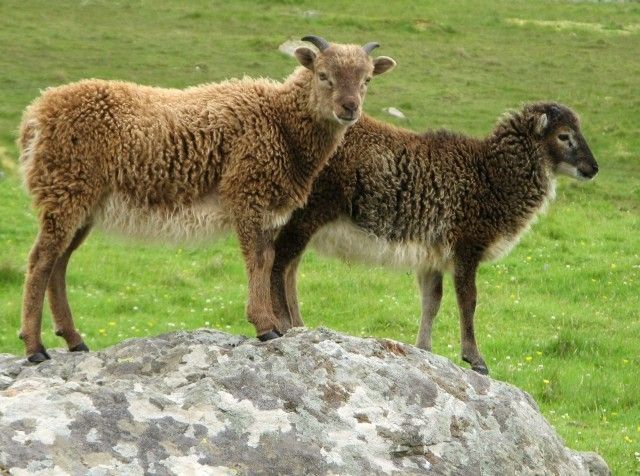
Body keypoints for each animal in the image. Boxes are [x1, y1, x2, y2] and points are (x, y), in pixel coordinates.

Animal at [17, 35, 396, 362]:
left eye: (366, 80)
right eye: (322, 75)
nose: (350, 108)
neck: (281, 122)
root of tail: (34, 117)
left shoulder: (270, 209)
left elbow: (271, 261)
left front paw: (274, 324)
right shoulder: (247, 192)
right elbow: (260, 259)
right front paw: (265, 327)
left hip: (82, 204)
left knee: (59, 262)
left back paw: (74, 340)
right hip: (65, 190)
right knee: (40, 260)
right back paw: (35, 348)